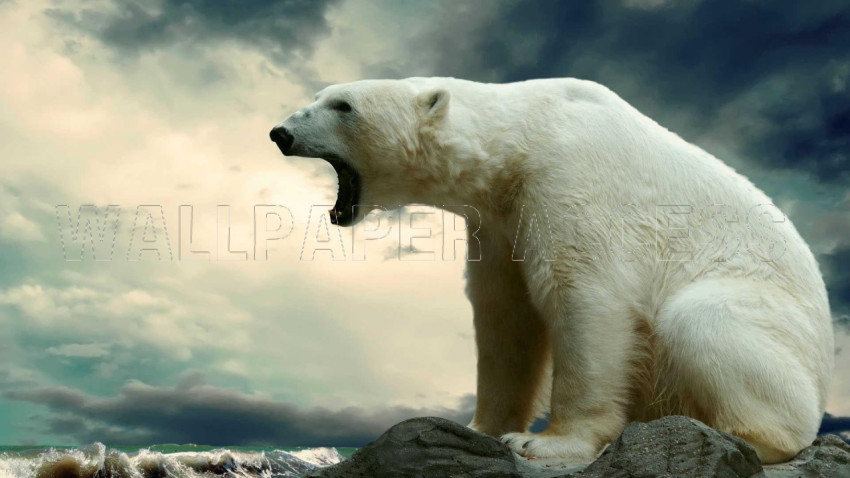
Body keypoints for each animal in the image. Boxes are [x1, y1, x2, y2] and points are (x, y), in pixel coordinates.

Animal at [270, 77, 834, 464]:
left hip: (769, 317)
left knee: (702, 320)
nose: (280, 132)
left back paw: (741, 437)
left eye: (343, 105)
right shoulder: (499, 219)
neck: (521, 136)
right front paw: (478, 426)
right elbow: (505, 317)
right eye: (321, 95)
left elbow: (585, 296)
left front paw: (546, 442)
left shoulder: (569, 179)